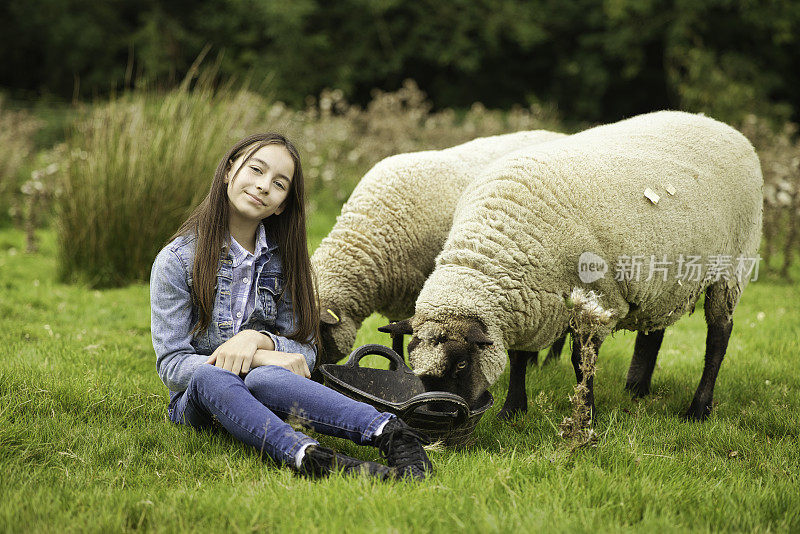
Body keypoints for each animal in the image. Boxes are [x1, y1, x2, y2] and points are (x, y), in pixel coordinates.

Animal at [386, 112, 764, 422]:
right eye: (413, 363)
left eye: (462, 363)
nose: (434, 416)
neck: (494, 244)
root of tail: (723, 126)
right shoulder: (529, 302)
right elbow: (519, 357)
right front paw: (512, 410)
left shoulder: (598, 303)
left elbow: (582, 364)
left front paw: (586, 415)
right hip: (664, 274)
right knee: (654, 328)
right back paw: (636, 389)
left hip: (732, 266)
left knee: (719, 336)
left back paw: (698, 409)